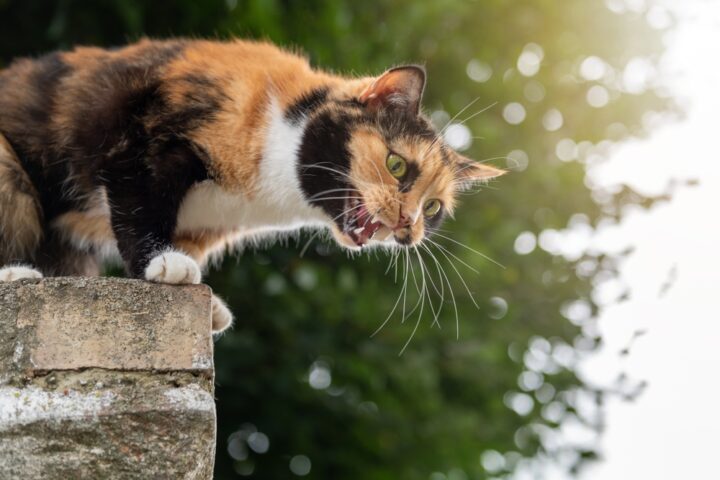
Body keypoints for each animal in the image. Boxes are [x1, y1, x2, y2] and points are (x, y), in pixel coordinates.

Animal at [0, 39, 504, 334]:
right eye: (397, 166)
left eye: (434, 208)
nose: (408, 226)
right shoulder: (143, 135)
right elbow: (139, 204)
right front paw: (163, 263)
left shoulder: (206, 226)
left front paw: (204, 299)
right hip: (9, 170)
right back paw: (17, 273)